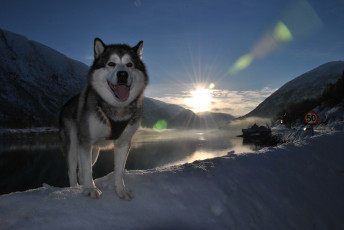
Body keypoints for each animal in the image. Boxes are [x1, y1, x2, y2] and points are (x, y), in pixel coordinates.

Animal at [59, 38, 148, 199]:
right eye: (111, 64)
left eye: (129, 64)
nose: (122, 74)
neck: (116, 108)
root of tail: (66, 105)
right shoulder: (85, 141)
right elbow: (87, 170)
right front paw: (91, 189)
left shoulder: (124, 142)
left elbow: (118, 171)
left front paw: (120, 190)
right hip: (73, 145)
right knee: (72, 171)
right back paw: (75, 188)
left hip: (94, 151)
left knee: (81, 171)